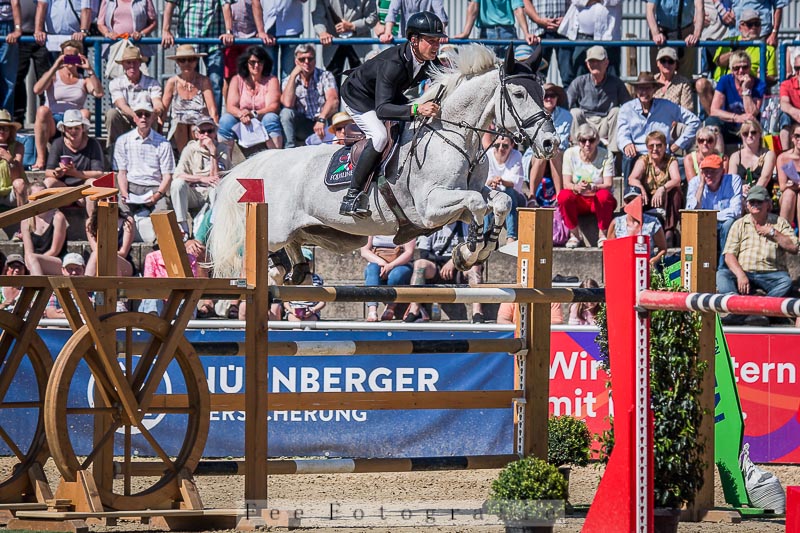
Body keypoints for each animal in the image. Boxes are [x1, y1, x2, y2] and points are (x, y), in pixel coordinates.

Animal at [208, 44, 559, 282]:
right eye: (518, 94)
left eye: (542, 91)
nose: (550, 143)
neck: (458, 137)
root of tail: (264, 162)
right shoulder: (430, 207)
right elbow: (475, 203)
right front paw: (470, 248)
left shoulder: (470, 192)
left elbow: (498, 201)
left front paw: (476, 249)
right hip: (276, 228)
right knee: (262, 246)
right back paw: (278, 269)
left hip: (313, 230)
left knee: (294, 248)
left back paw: (295, 271)